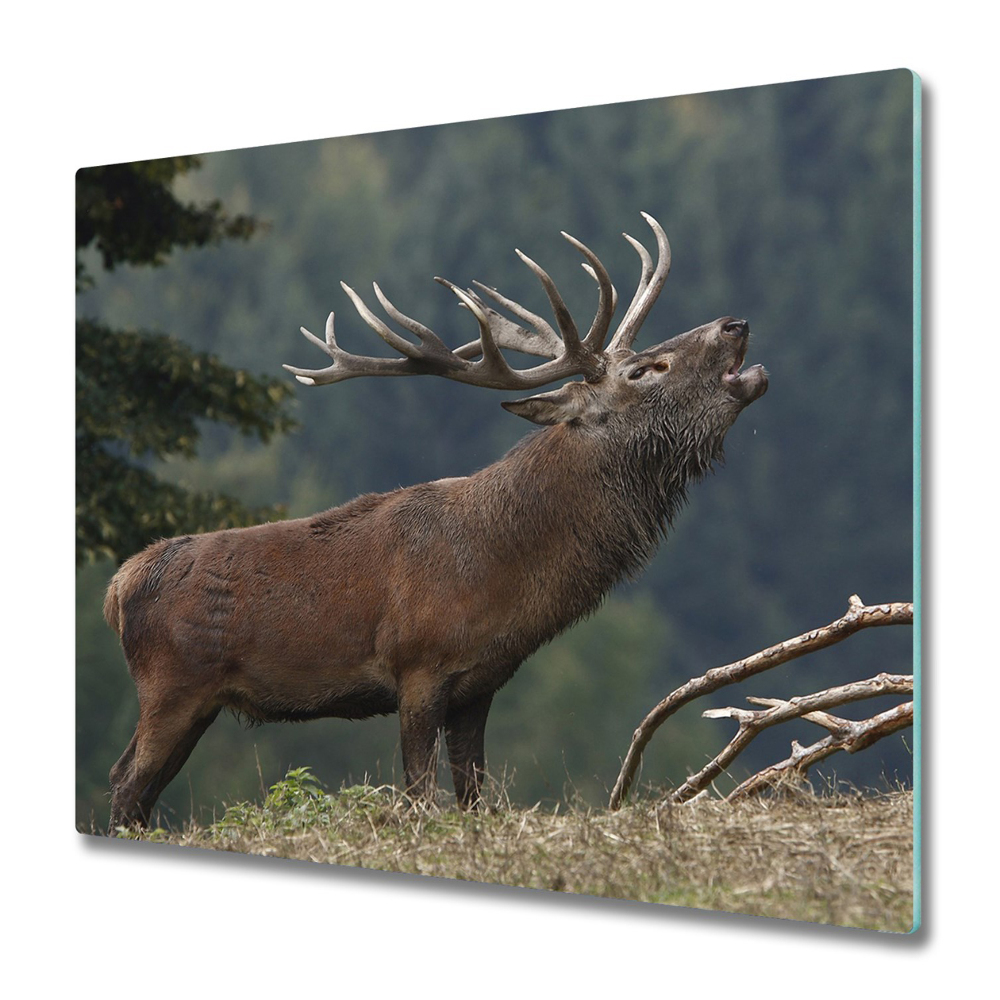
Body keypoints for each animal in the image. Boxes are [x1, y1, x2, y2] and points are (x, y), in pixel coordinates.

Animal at [104, 213, 767, 832]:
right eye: (645, 371)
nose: (735, 324)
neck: (506, 575)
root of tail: (118, 587)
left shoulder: (480, 684)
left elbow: (472, 796)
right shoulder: (418, 666)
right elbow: (418, 795)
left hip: (200, 701)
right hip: (171, 684)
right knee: (124, 783)